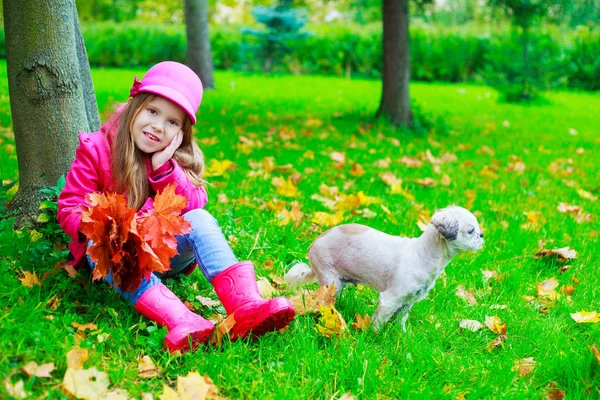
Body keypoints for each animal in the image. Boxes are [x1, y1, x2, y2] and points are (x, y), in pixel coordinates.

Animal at [284, 206, 482, 332]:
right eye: (470, 231)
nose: (482, 235)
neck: (423, 254)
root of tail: (313, 246)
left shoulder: (407, 301)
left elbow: (401, 319)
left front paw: (401, 335)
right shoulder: (390, 300)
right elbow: (379, 323)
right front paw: (374, 337)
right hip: (331, 281)